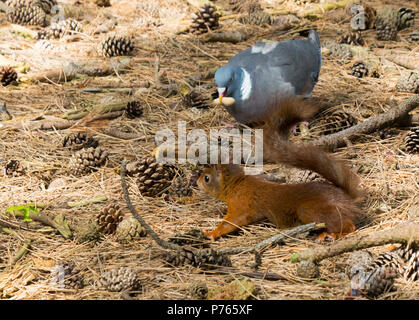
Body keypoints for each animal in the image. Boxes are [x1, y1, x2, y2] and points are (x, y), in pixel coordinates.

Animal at [197, 99, 364, 239]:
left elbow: (230, 223)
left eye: (207, 178)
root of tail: (347, 199)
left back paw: (331, 235)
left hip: (310, 211)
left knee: (349, 226)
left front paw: (211, 233)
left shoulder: (240, 205)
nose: (197, 182)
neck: (235, 183)